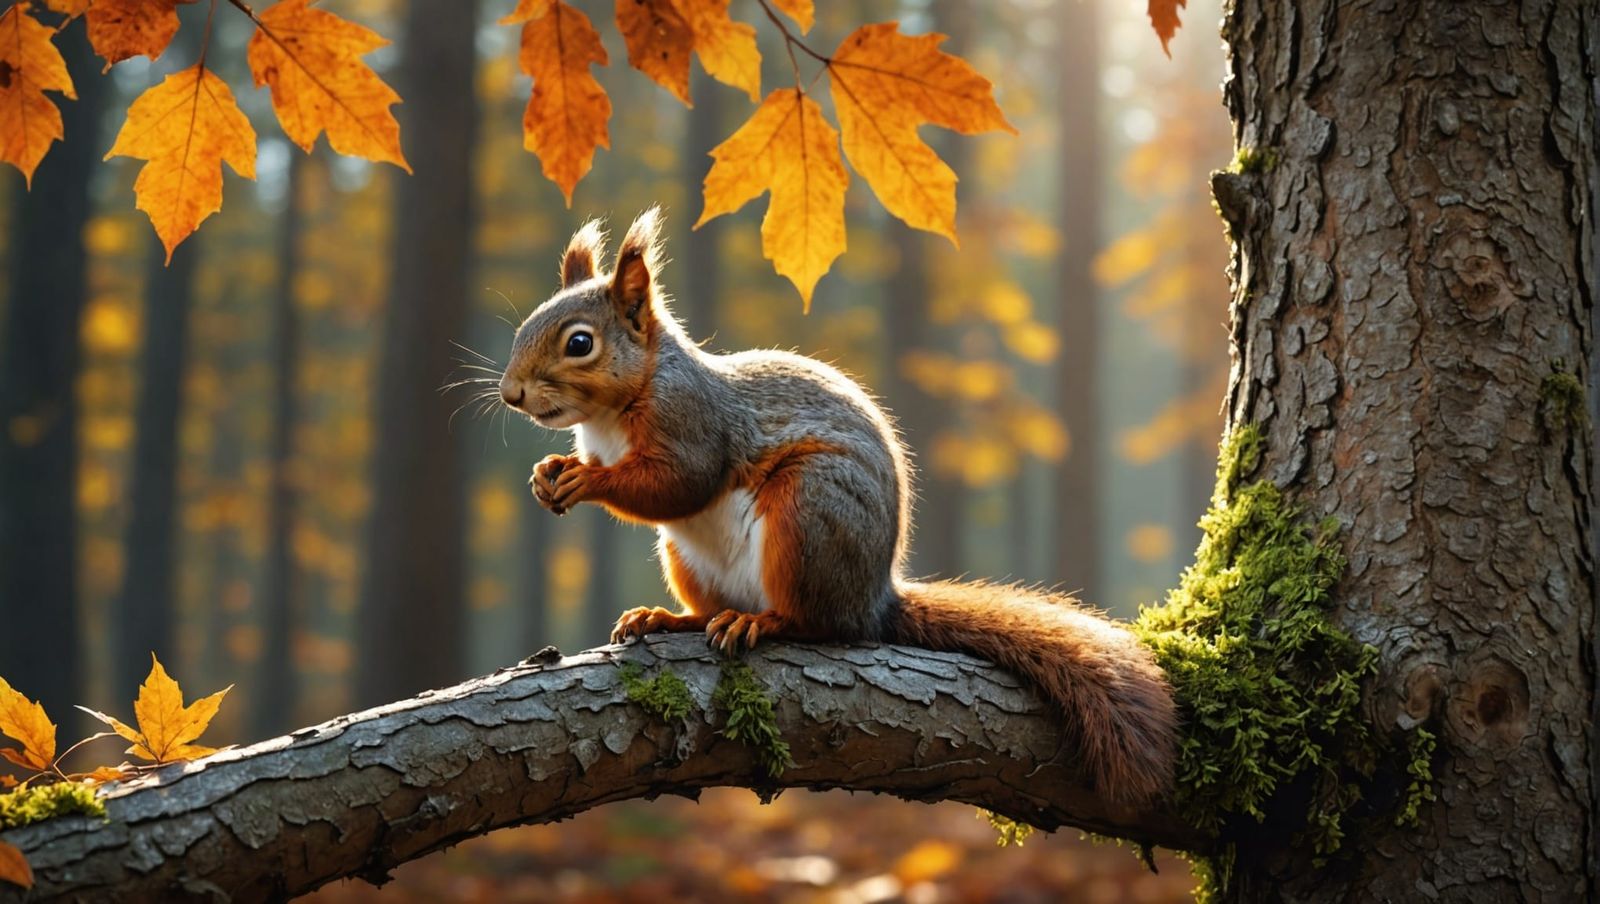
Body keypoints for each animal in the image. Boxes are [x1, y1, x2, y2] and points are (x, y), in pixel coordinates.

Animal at [498, 209, 1177, 802]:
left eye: (579, 343)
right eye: (523, 327)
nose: (510, 394)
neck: (612, 416)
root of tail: (873, 599)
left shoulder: (693, 424)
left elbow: (677, 484)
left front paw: (586, 480)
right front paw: (545, 475)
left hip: (808, 513)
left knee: (815, 622)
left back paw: (762, 623)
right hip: (688, 556)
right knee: (712, 607)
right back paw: (671, 619)